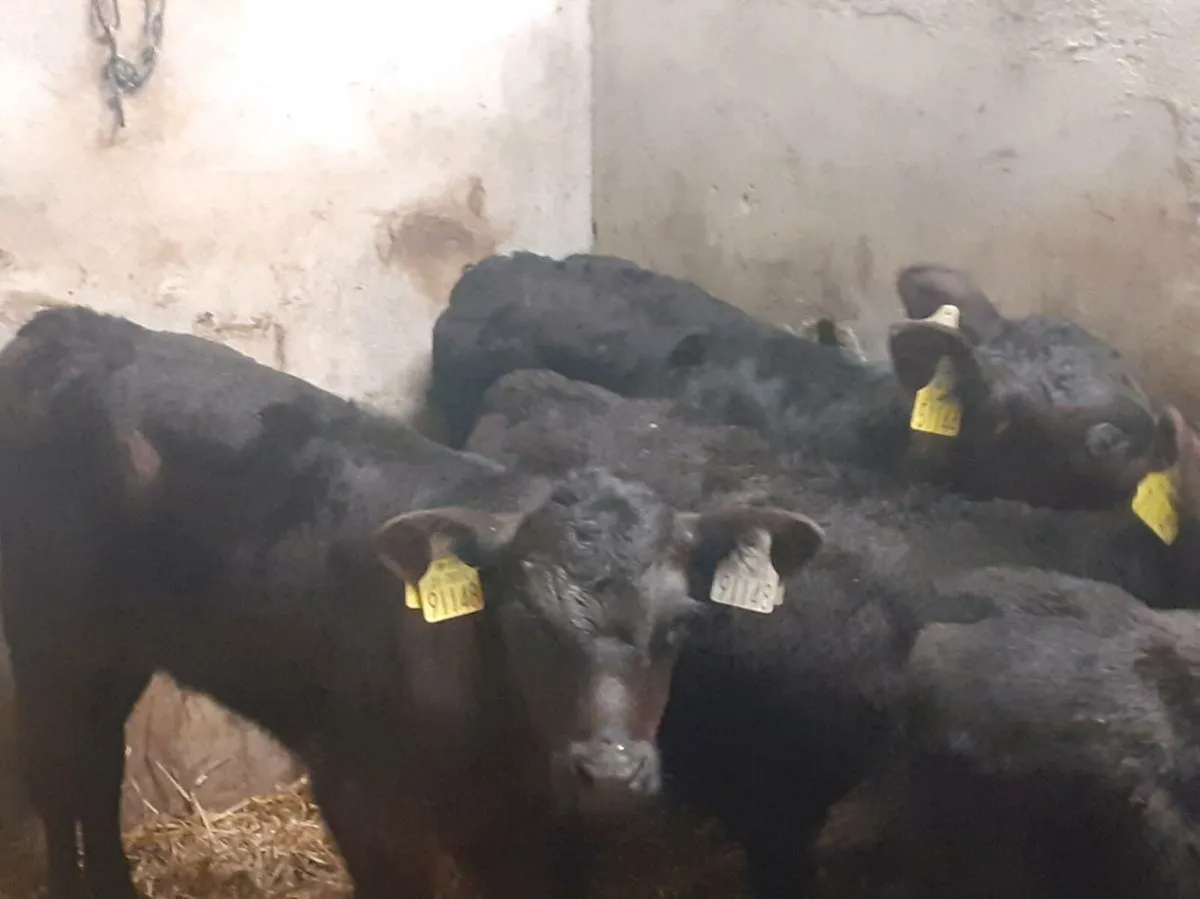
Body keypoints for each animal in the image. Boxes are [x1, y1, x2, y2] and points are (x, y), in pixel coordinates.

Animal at [0, 306, 823, 899]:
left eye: (681, 622)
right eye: (524, 619)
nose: (612, 773)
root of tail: (59, 327)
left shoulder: (533, 827)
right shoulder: (360, 794)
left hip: (114, 646)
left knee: (95, 766)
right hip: (47, 636)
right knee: (58, 772)